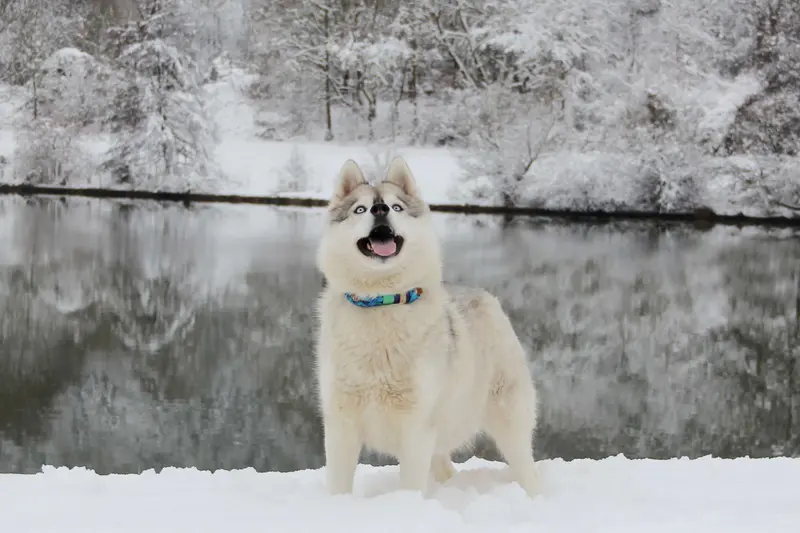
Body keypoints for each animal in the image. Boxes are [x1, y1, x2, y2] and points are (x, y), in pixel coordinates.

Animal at [314, 157, 540, 497]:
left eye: (395, 207)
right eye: (360, 209)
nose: (379, 209)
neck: (381, 302)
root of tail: (484, 296)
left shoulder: (416, 427)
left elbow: (410, 485)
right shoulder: (341, 425)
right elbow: (338, 485)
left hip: (508, 419)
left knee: (527, 466)